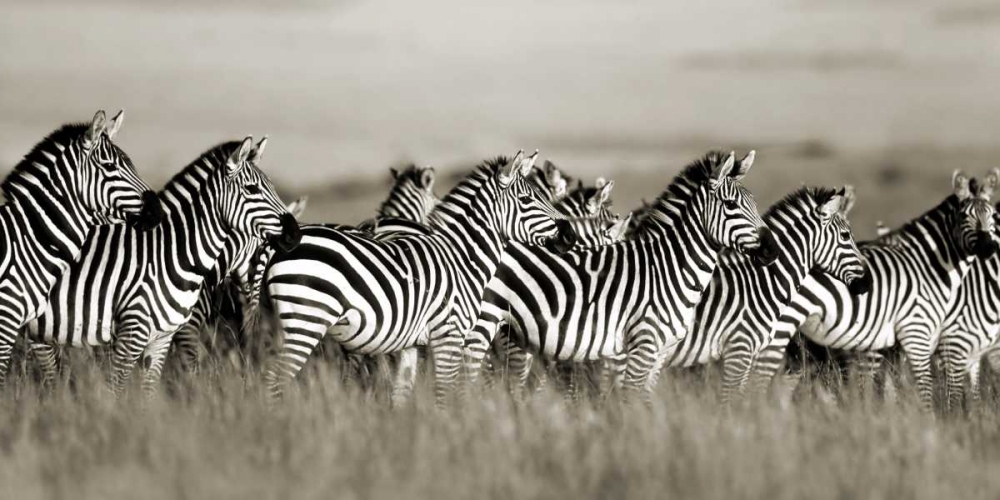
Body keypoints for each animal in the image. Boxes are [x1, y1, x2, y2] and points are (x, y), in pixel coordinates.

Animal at [260, 150, 578, 405]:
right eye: (526, 199)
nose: (570, 235)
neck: (462, 257)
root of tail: (280, 247)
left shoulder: (411, 343)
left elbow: (401, 395)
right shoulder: (449, 334)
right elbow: (445, 394)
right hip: (306, 321)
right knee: (274, 381)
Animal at [462, 150, 779, 402]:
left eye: (753, 202)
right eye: (731, 205)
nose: (773, 250)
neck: (669, 268)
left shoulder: (659, 352)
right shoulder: (639, 346)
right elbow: (630, 399)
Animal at [748, 170, 999, 411]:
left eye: (993, 216)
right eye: (965, 216)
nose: (989, 247)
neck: (927, 264)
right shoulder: (926, 337)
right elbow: (931, 390)